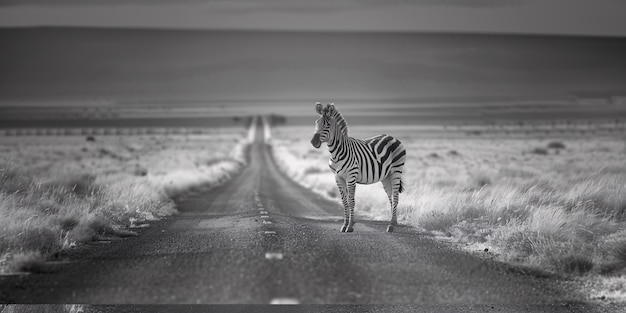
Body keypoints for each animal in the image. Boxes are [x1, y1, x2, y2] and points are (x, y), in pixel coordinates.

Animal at [310, 102, 408, 232]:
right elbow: (344, 202)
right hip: (386, 176)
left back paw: (391, 225)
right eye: (316, 122)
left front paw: (350, 226)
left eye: (328, 125)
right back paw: (394, 222)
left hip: (396, 170)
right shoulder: (338, 178)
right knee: (391, 197)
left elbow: (351, 201)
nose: (313, 142)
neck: (336, 152)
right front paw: (344, 225)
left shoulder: (351, 176)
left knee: (396, 197)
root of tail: (392, 137)